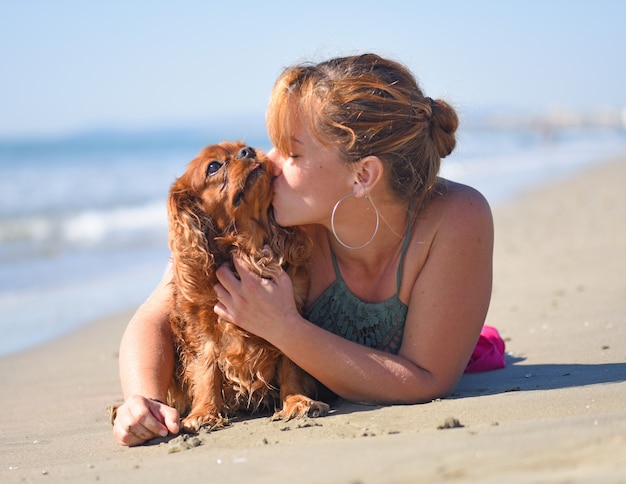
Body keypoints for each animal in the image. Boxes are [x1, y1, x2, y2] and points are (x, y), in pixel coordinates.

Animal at [166, 140, 332, 432]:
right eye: (213, 166)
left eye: (243, 147)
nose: (249, 152)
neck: (249, 245)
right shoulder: (200, 329)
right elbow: (206, 369)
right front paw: (204, 413)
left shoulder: (291, 312)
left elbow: (291, 362)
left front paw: (297, 402)